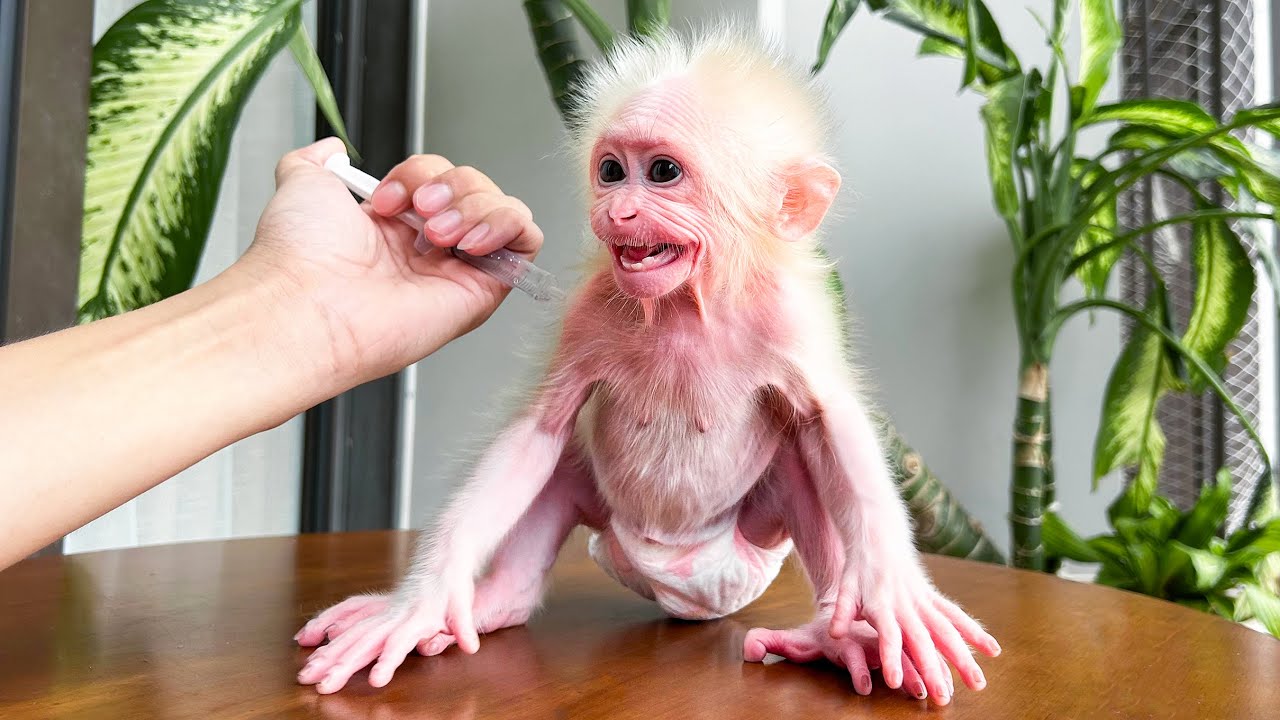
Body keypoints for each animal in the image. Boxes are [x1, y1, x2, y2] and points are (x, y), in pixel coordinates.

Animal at [294, 24, 1001, 703]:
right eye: (611, 171)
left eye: (661, 172)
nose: (617, 210)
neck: (686, 304)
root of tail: (677, 586)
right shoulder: (584, 309)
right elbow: (537, 430)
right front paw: (419, 599)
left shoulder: (796, 316)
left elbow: (833, 424)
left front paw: (894, 585)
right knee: (555, 460)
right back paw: (498, 600)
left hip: (752, 547)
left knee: (803, 458)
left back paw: (834, 633)